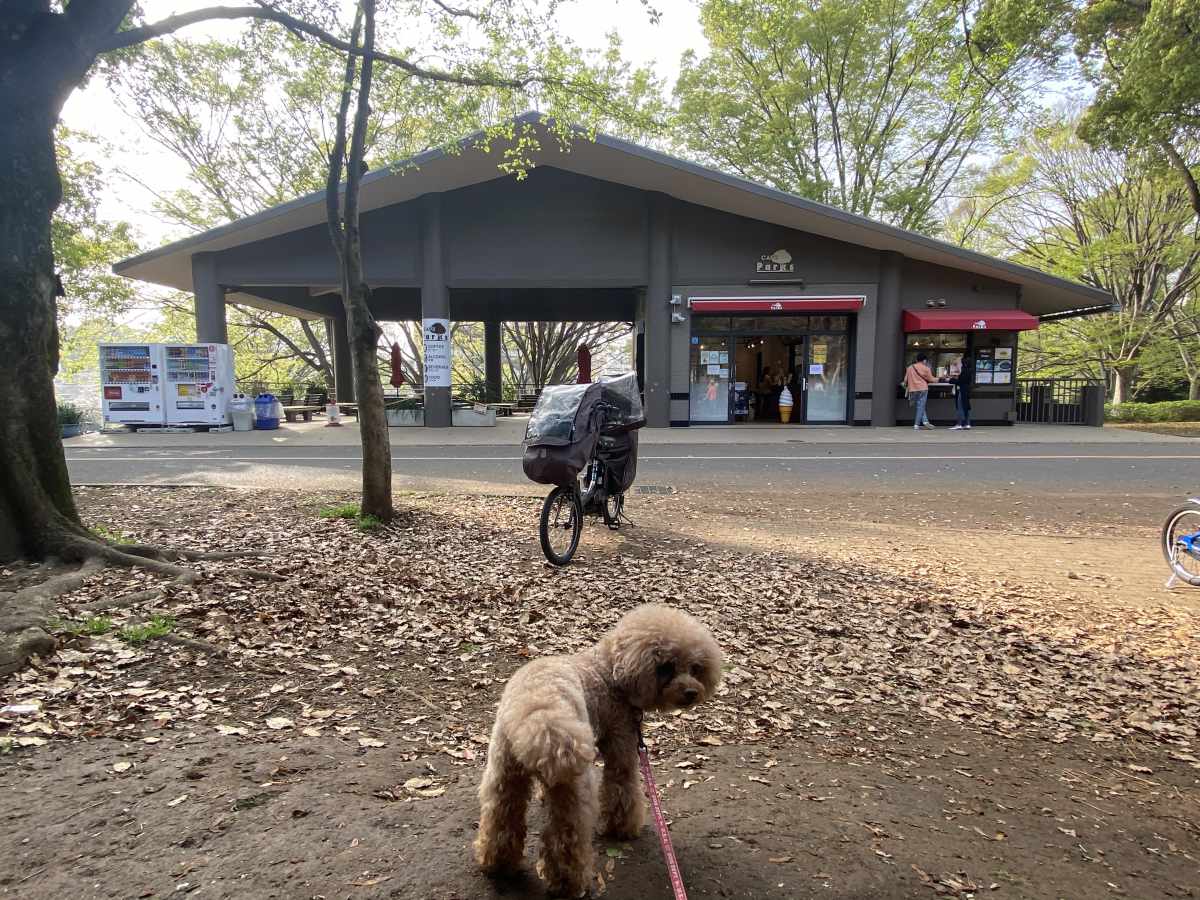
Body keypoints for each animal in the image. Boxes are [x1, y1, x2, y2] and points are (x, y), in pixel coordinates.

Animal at [475, 607, 720, 897]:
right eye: (666, 667)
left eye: (695, 667)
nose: (692, 692)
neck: (609, 671)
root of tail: (540, 716)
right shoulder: (622, 743)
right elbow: (622, 790)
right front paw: (622, 829)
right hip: (574, 785)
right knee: (566, 838)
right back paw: (569, 884)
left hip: (504, 771)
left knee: (501, 819)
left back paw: (498, 865)